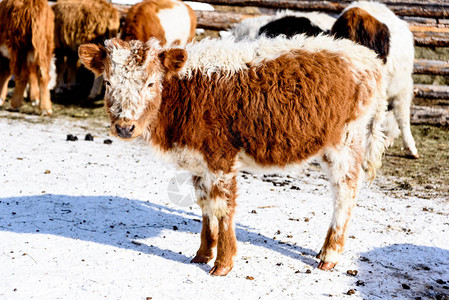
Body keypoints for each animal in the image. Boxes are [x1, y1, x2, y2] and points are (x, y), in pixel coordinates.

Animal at [79, 34, 384, 274]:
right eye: (108, 83)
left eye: (151, 83)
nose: (124, 126)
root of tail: (365, 56)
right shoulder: (198, 161)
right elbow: (205, 204)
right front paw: (203, 253)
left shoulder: (220, 156)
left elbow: (223, 207)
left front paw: (223, 264)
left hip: (345, 142)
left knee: (345, 192)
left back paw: (330, 254)